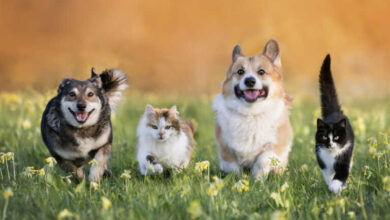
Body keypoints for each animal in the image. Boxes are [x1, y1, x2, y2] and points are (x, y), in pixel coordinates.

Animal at [316, 54, 354, 194]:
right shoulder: (322, 161)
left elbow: (341, 174)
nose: (331, 144)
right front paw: (331, 186)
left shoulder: (344, 158)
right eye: (324, 137)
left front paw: (335, 187)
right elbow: (328, 175)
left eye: (337, 137)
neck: (331, 155)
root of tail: (335, 111)